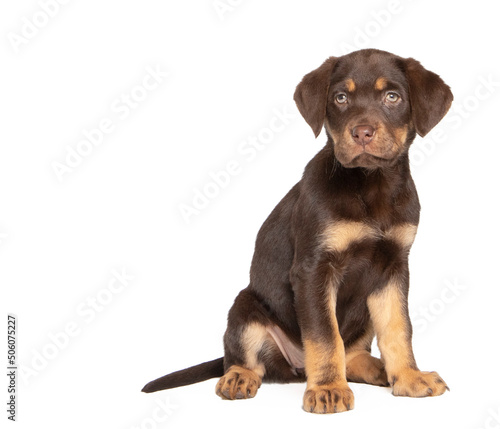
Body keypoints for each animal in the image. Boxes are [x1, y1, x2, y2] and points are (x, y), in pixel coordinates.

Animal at [142, 48, 454, 412]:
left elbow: (398, 328)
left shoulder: (393, 267)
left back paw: (375, 369)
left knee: (353, 350)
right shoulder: (313, 268)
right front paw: (328, 388)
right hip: (244, 307)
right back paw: (238, 378)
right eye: (340, 98)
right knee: (246, 359)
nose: (362, 133)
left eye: (393, 97)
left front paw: (408, 377)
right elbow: (324, 335)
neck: (370, 184)